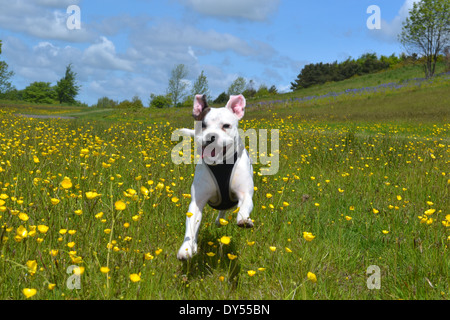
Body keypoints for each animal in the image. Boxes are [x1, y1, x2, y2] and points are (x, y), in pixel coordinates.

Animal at [176, 94, 253, 258]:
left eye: (226, 126)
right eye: (202, 125)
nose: (211, 136)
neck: (220, 165)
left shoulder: (245, 193)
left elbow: (244, 206)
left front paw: (244, 219)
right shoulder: (197, 202)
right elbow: (191, 227)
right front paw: (186, 248)